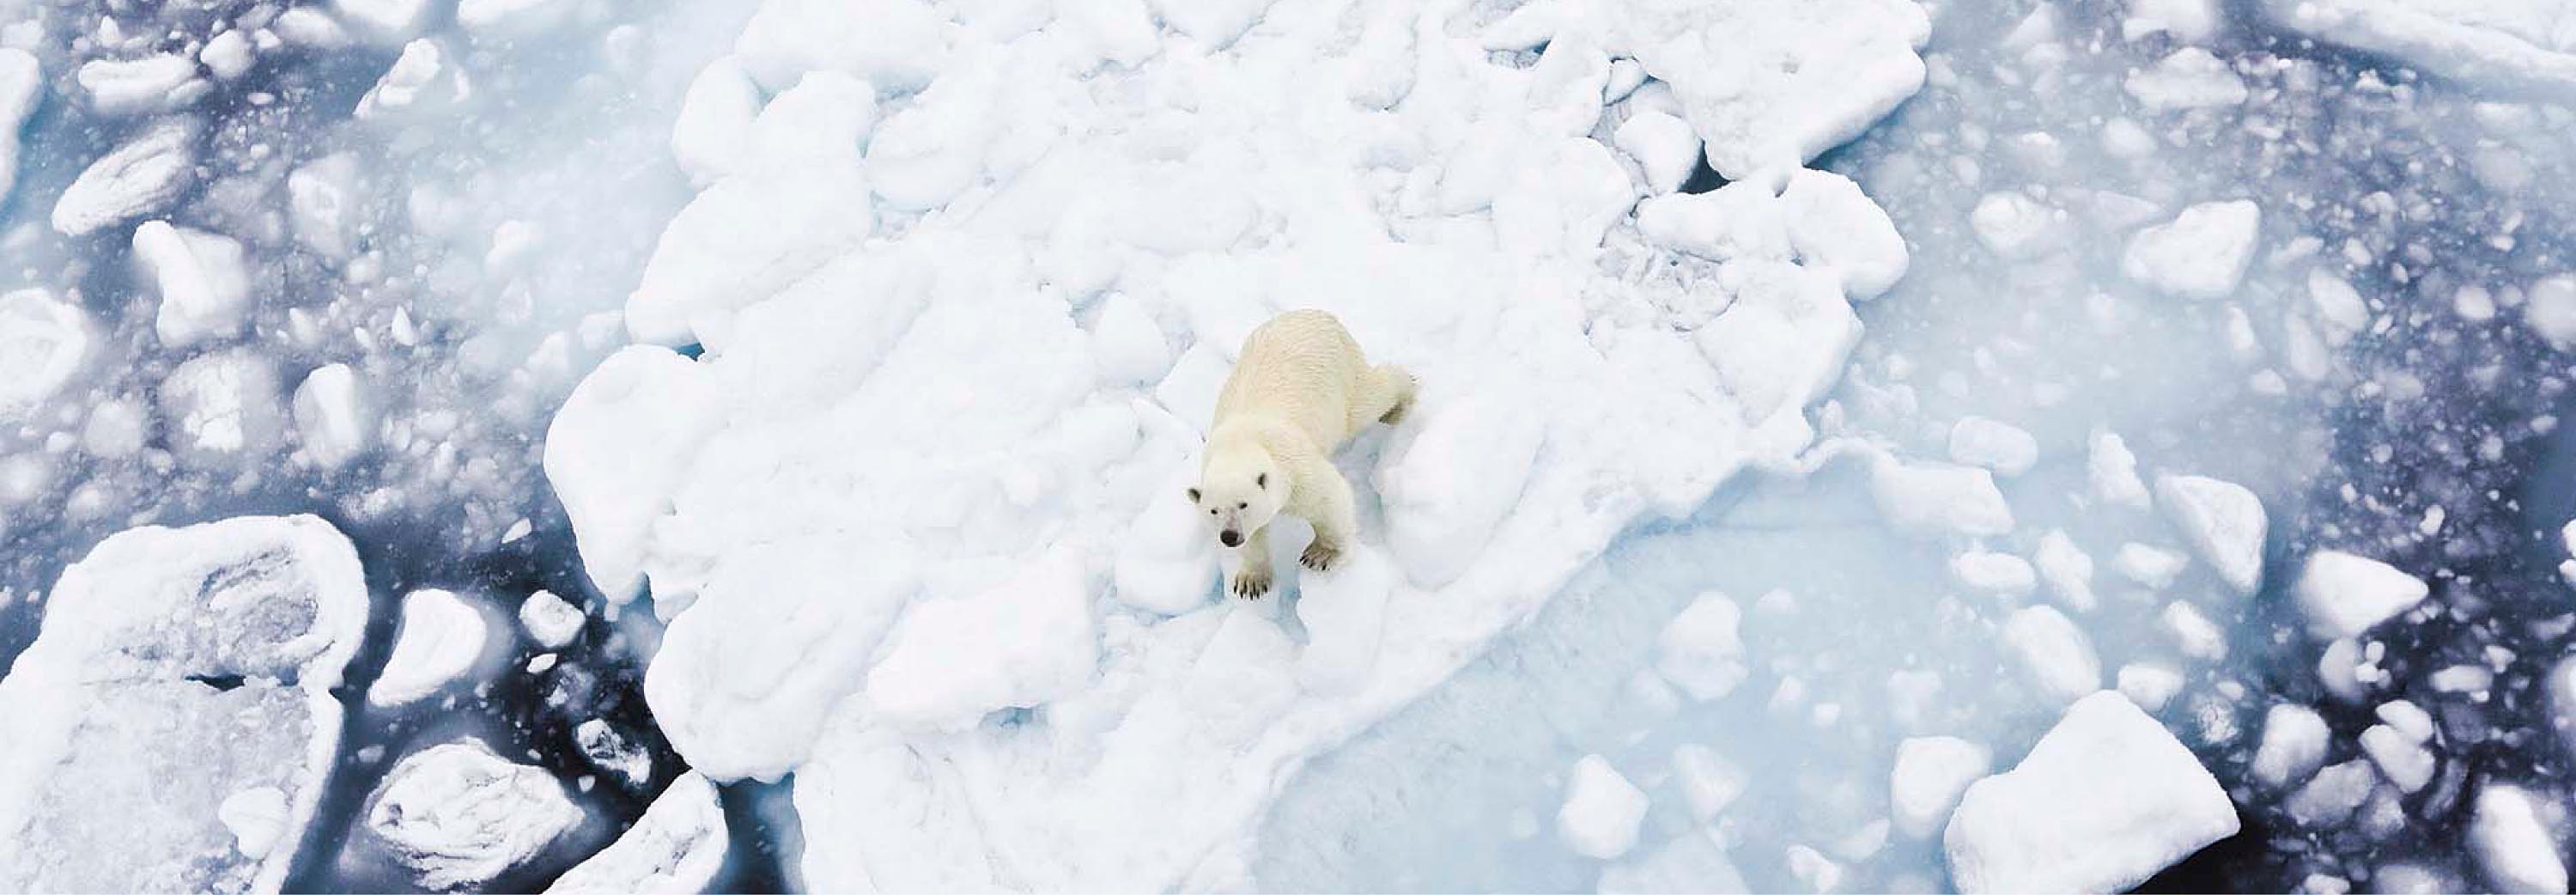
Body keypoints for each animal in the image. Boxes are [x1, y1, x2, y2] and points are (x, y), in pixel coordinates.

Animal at [1188, 309, 1416, 599]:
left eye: (1243, 504)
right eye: (1213, 510)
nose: (1229, 536)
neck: (1239, 444)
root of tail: (1315, 313)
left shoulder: (1295, 467)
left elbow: (1329, 500)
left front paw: (1321, 554)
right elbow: (1255, 537)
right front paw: (1252, 581)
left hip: (1341, 377)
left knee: (1367, 400)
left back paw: (1401, 401)